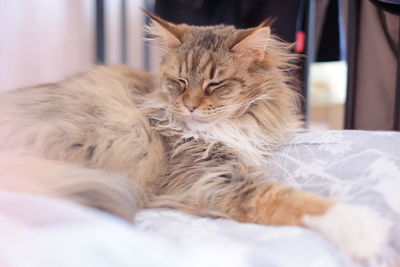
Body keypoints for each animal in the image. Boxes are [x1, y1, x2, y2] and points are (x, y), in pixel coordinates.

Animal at [0, 12, 392, 262]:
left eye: (214, 84)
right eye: (179, 81)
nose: (188, 106)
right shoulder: (214, 178)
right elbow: (293, 199)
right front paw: (361, 226)